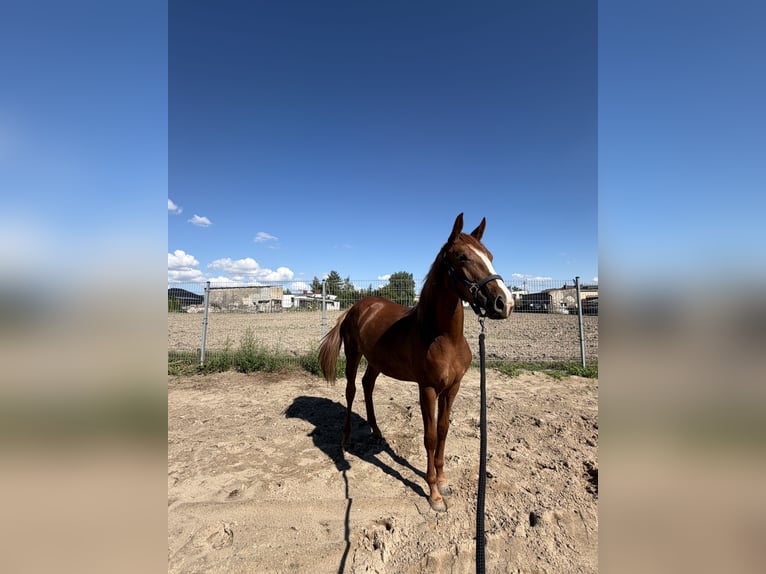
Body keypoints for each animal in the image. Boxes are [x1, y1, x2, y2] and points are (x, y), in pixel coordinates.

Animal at [318, 213, 513, 511]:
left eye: (490, 255)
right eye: (462, 256)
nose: (504, 303)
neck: (444, 337)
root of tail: (356, 307)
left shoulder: (452, 388)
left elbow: (443, 431)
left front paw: (443, 481)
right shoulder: (427, 389)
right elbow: (430, 437)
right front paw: (434, 494)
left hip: (376, 361)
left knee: (367, 386)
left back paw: (377, 431)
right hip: (353, 354)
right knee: (351, 390)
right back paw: (346, 439)